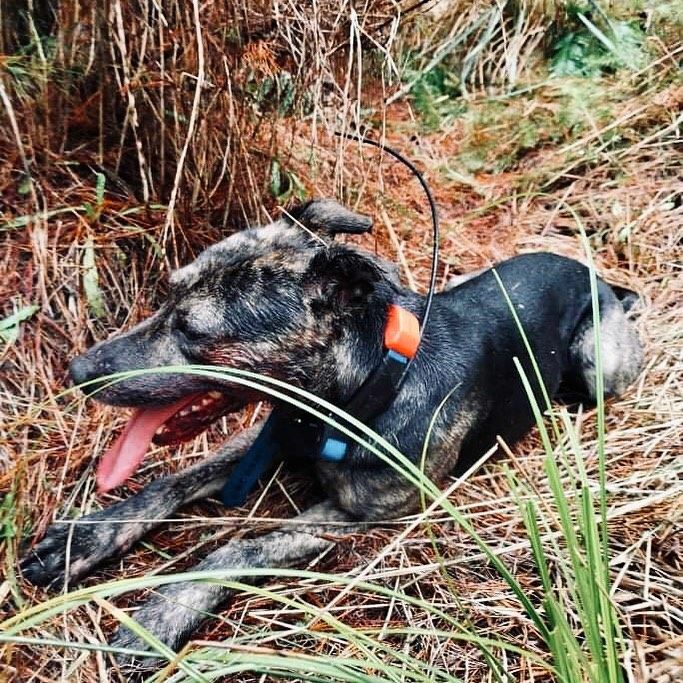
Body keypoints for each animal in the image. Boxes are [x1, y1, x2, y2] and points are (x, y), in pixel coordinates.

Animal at [18, 198, 644, 668]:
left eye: (192, 331)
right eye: (164, 296)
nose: (76, 372)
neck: (366, 383)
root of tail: (597, 275)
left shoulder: (359, 517)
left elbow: (244, 544)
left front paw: (161, 614)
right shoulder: (262, 439)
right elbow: (167, 483)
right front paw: (84, 540)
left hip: (601, 365)